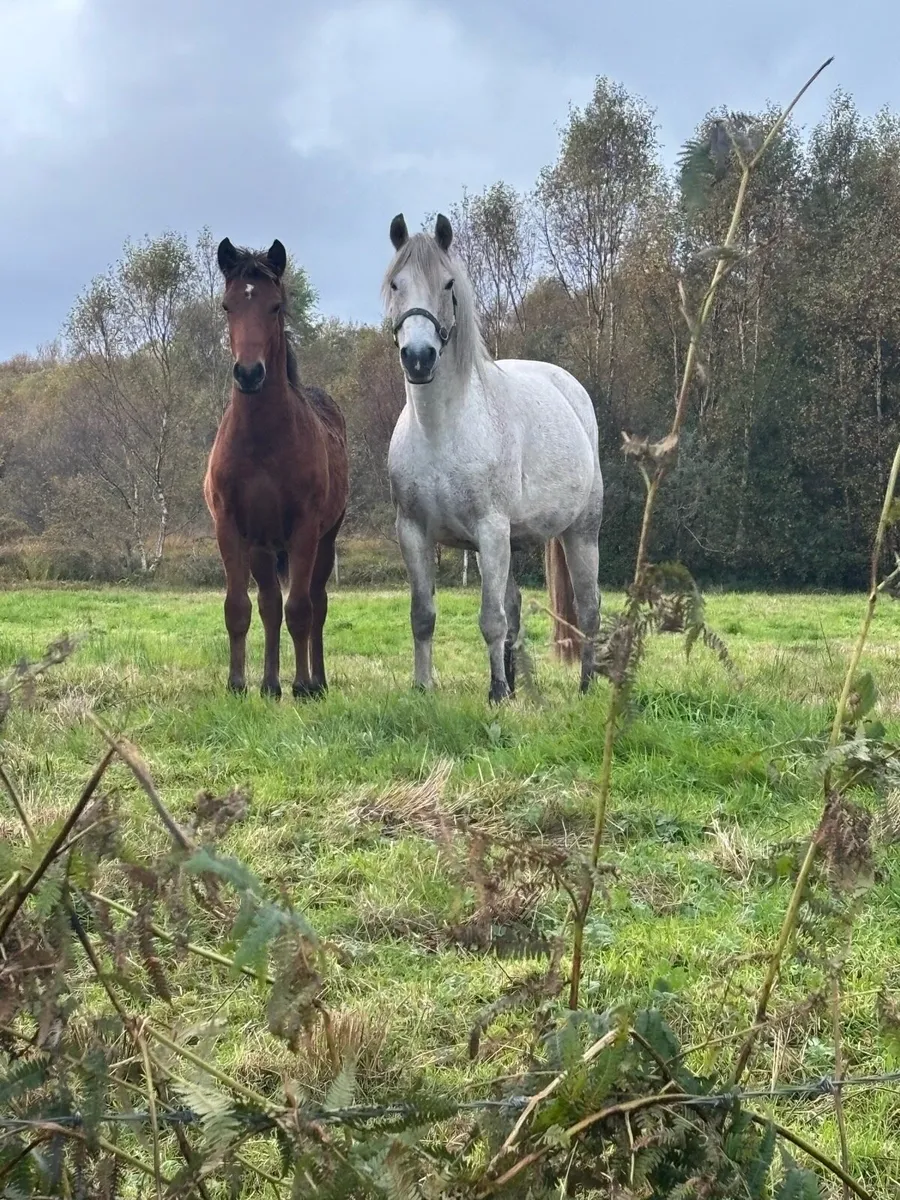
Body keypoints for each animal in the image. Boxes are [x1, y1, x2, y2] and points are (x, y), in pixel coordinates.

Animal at [204, 237, 348, 699]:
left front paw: (302, 685)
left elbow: (301, 608)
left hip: (325, 541)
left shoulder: (305, 530)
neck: (262, 442)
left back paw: (316, 681)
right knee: (269, 605)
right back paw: (269, 684)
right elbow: (239, 607)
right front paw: (236, 684)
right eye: (227, 305)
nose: (249, 373)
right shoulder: (230, 528)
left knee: (317, 603)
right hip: (262, 548)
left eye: (275, 306)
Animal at [383, 213, 604, 703]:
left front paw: (497, 693)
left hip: (580, 533)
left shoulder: (491, 529)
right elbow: (423, 615)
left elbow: (490, 618)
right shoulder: (414, 534)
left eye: (448, 284)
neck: (441, 431)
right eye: (395, 283)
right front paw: (423, 687)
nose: (419, 358)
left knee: (589, 608)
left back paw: (585, 685)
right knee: (515, 608)